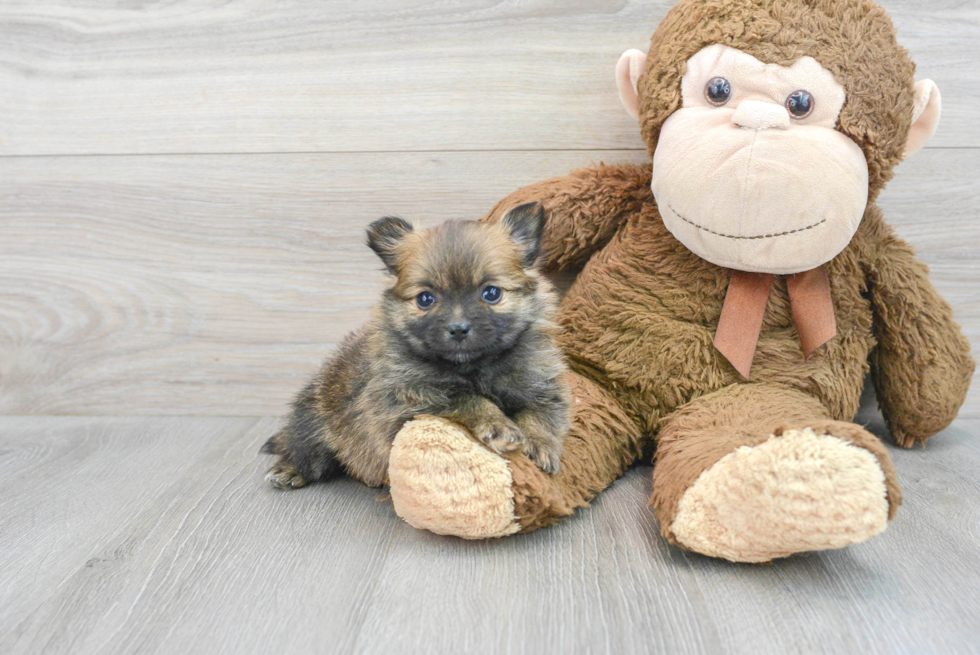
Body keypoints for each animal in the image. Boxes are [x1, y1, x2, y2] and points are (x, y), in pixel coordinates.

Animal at [260, 202, 572, 490]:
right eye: (425, 299)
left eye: (491, 293)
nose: (458, 328)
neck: (472, 367)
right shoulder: (407, 401)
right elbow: (466, 398)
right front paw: (497, 425)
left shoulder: (542, 387)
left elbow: (540, 414)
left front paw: (539, 443)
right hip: (313, 424)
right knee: (305, 451)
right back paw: (289, 470)